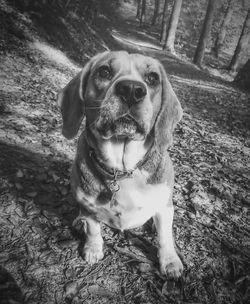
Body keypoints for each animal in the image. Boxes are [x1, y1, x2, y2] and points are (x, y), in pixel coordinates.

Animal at [57, 51, 184, 280]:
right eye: (104, 72)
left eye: (153, 78)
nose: (132, 90)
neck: (123, 169)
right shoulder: (89, 206)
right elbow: (93, 229)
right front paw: (93, 249)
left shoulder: (164, 206)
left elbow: (165, 237)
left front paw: (170, 262)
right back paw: (79, 221)